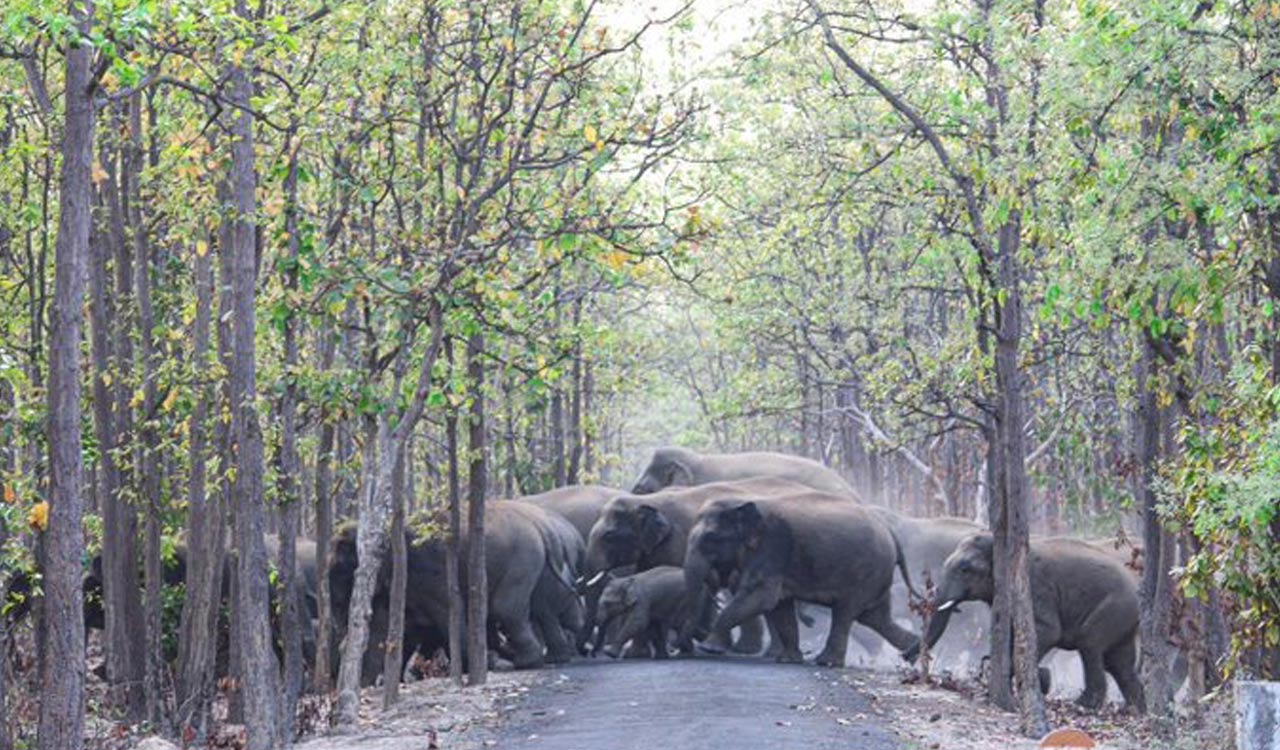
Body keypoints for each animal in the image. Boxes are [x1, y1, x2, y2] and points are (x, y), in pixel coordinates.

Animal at [684, 493, 920, 667]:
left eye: (711, 537)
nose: (686, 647)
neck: (742, 502)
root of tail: (891, 534)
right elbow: (780, 605)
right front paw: (788, 660)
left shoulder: (772, 548)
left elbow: (761, 598)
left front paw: (709, 648)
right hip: (877, 576)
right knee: (876, 618)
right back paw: (913, 653)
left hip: (866, 574)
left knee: (846, 612)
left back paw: (827, 663)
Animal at [906, 532, 1146, 711]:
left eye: (965, 569)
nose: (906, 660)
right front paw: (1042, 679)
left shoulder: (1034, 587)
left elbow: (1048, 631)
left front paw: (1037, 680)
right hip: (1123, 618)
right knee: (1119, 663)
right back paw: (1134, 710)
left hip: (1115, 607)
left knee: (1090, 645)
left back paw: (1083, 705)